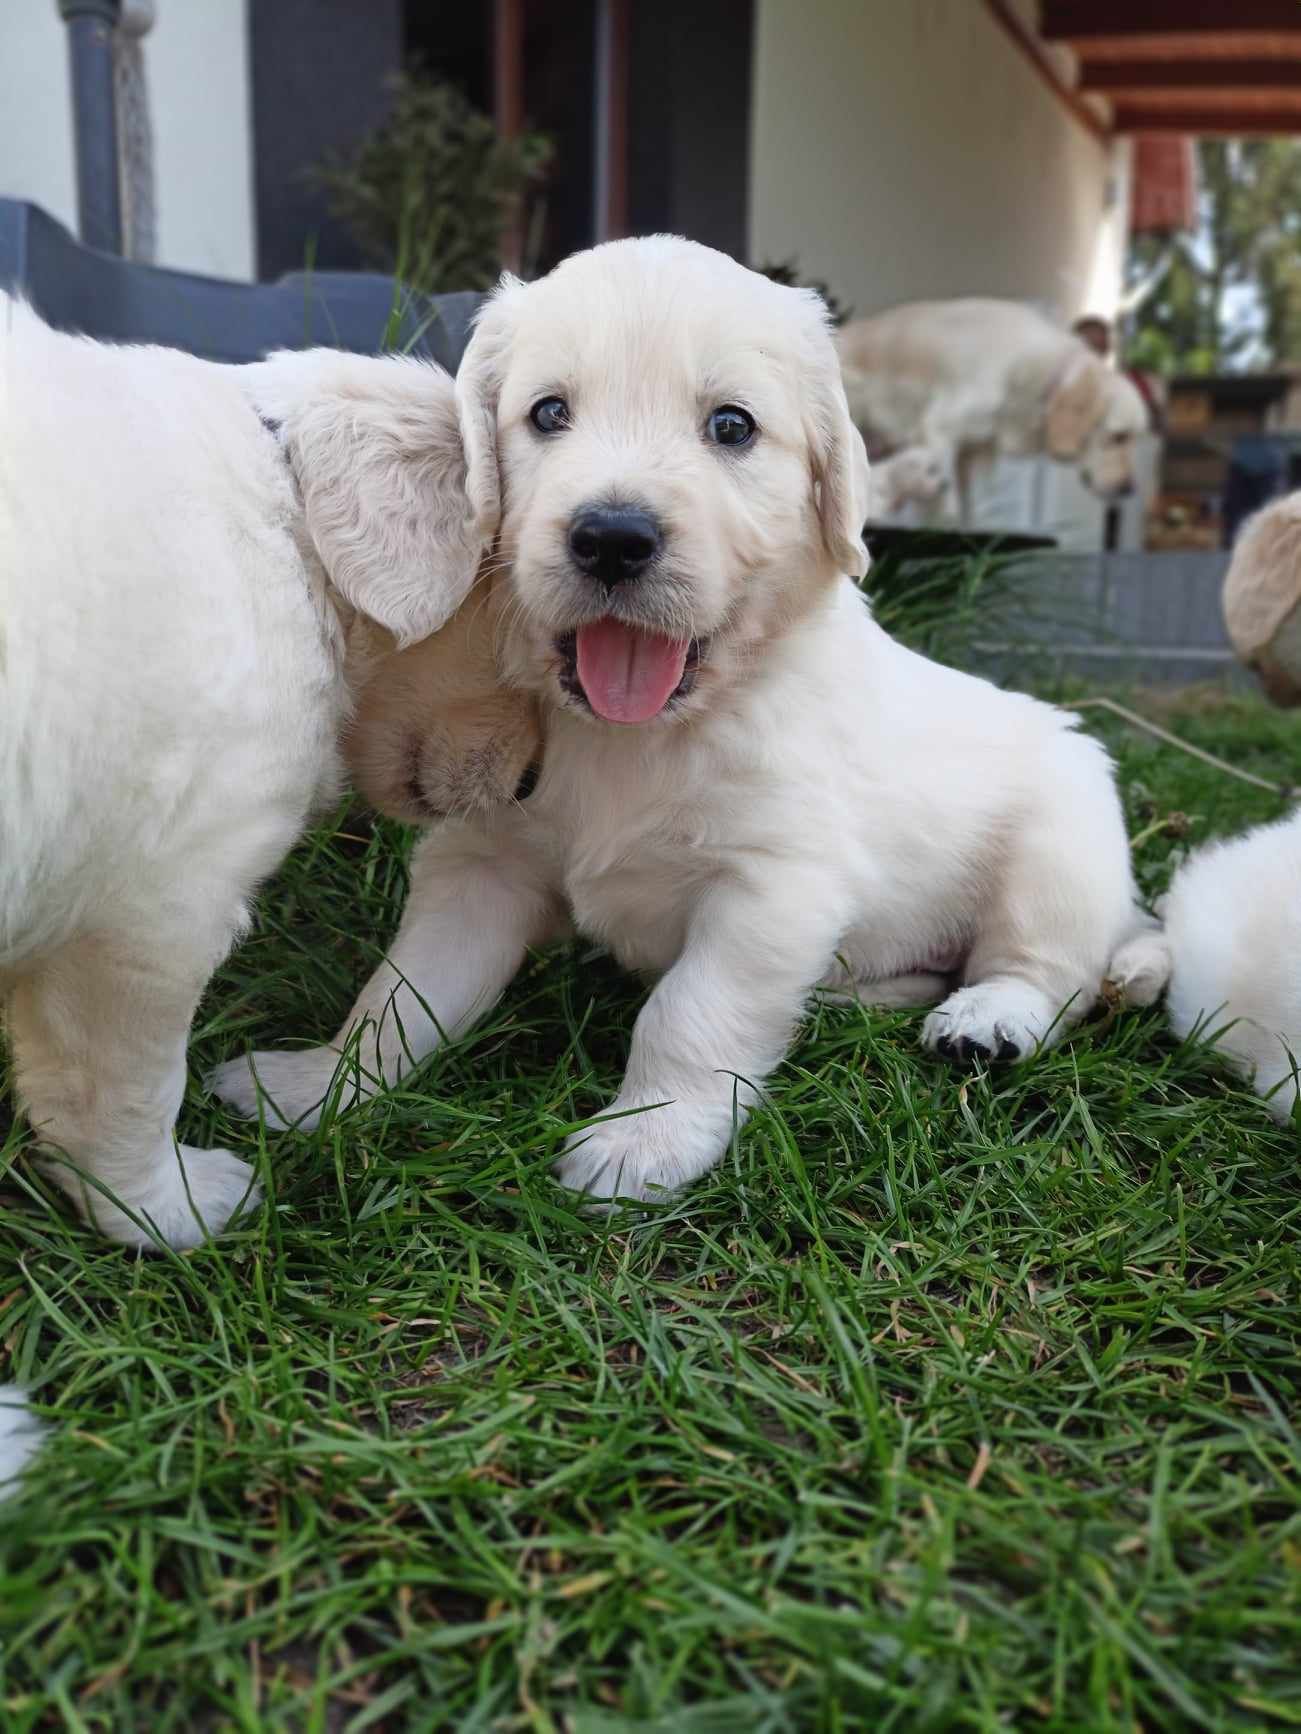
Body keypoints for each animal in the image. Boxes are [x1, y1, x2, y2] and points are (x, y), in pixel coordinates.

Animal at [836, 298, 1151, 516]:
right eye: (1118, 436)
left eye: (1136, 438)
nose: (1129, 489)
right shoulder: (939, 430)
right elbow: (947, 507)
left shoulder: (972, 455)